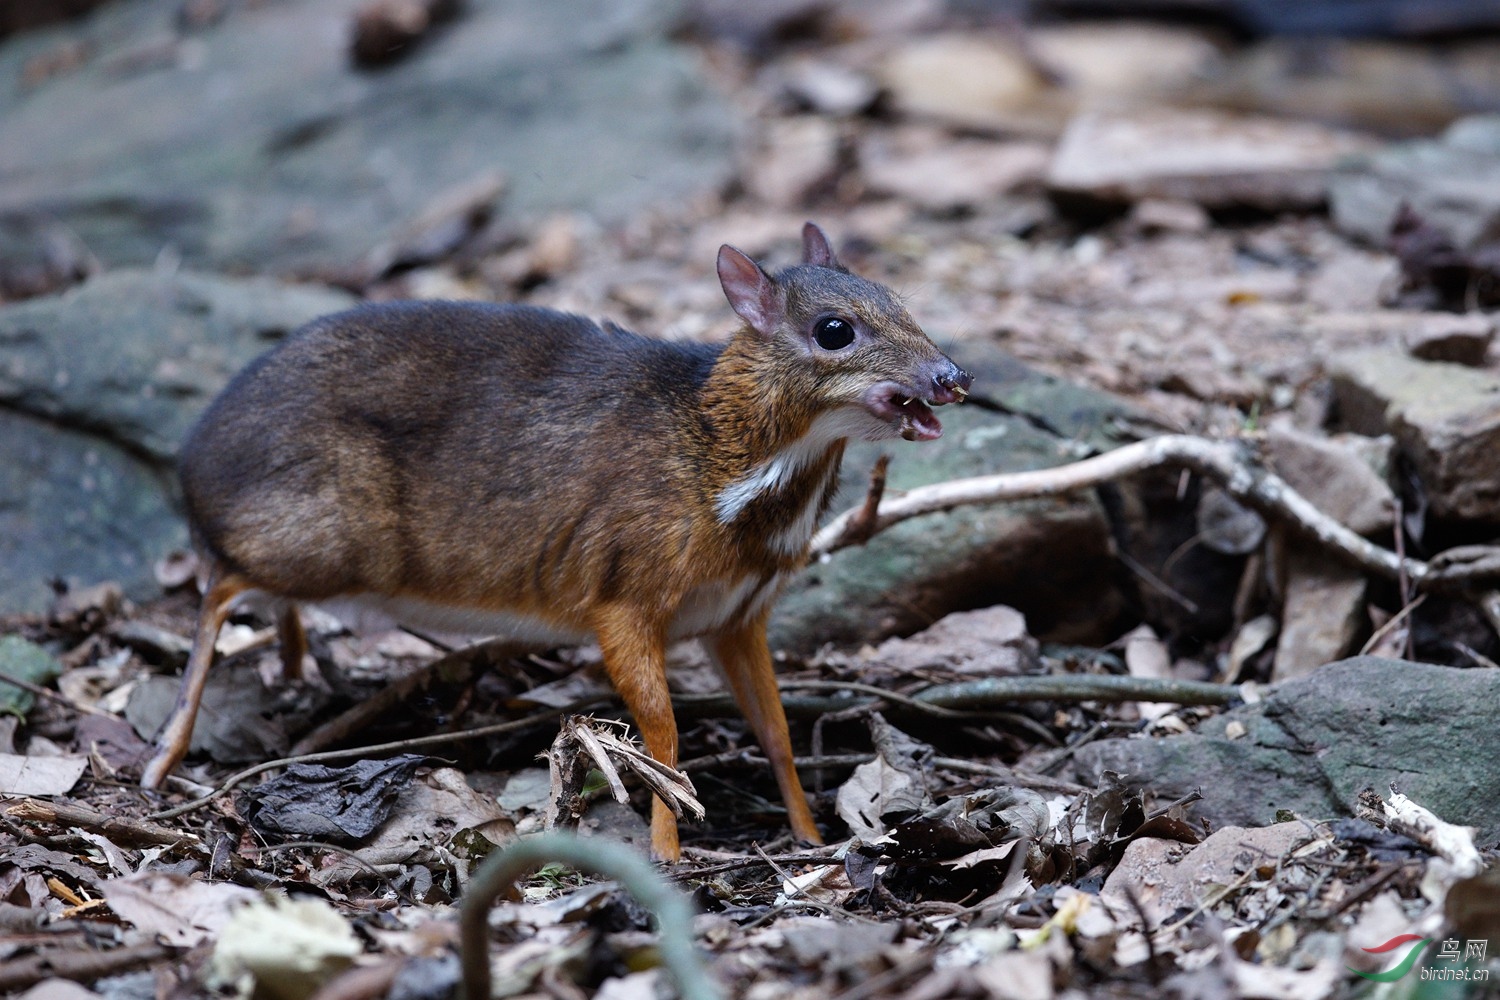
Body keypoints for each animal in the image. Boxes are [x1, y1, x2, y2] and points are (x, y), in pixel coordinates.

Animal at [146, 224, 966, 863]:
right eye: (835, 330)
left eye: (900, 300)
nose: (952, 374)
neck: (718, 460)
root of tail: (191, 465)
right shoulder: (624, 595)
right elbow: (661, 737)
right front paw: (669, 853)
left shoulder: (736, 615)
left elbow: (777, 731)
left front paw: (811, 837)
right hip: (319, 541)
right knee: (218, 583)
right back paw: (165, 754)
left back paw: (288, 668)